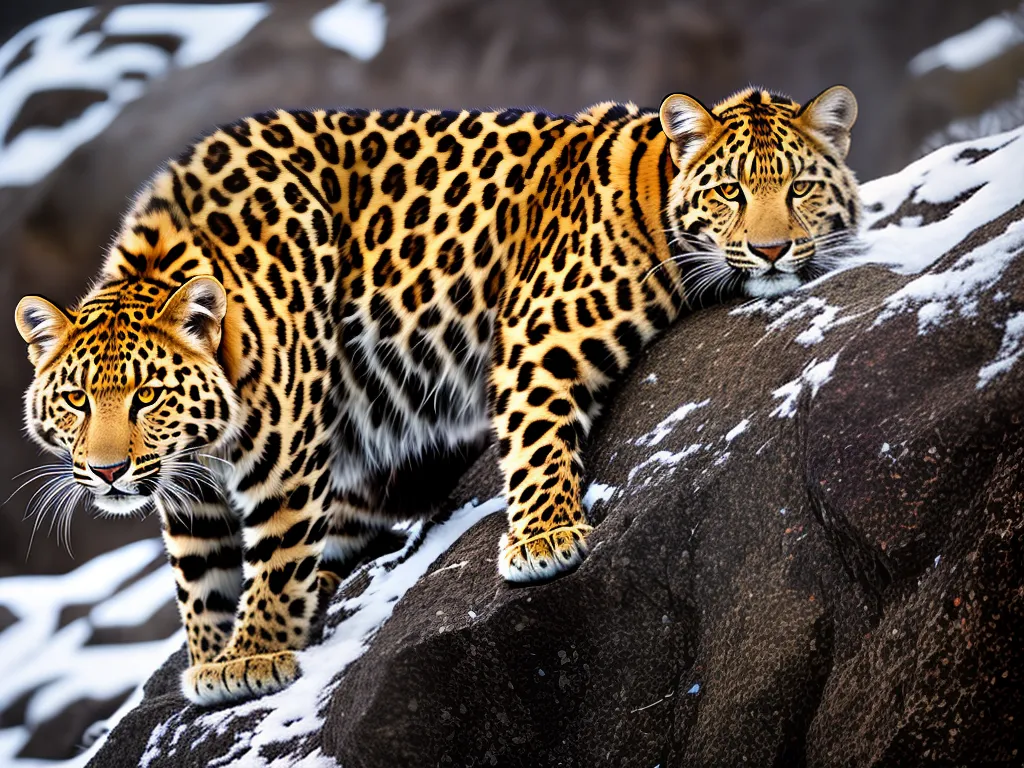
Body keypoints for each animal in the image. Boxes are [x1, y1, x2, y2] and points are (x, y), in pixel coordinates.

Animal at [14, 85, 861, 706]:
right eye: (77, 403)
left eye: (799, 189)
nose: (772, 251)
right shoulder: (188, 491)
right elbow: (199, 575)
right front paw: (212, 655)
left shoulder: (298, 451)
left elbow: (282, 552)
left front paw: (254, 653)